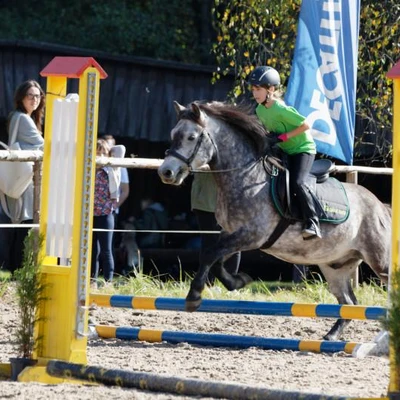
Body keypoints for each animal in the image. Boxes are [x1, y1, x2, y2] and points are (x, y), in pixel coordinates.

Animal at [158, 101, 390, 340]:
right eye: (173, 135)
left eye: (191, 137)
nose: (166, 172)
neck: (245, 176)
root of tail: (381, 207)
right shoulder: (232, 233)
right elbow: (216, 261)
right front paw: (239, 281)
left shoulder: (252, 235)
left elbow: (210, 255)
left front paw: (194, 296)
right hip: (334, 265)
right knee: (349, 302)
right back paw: (331, 336)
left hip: (380, 260)